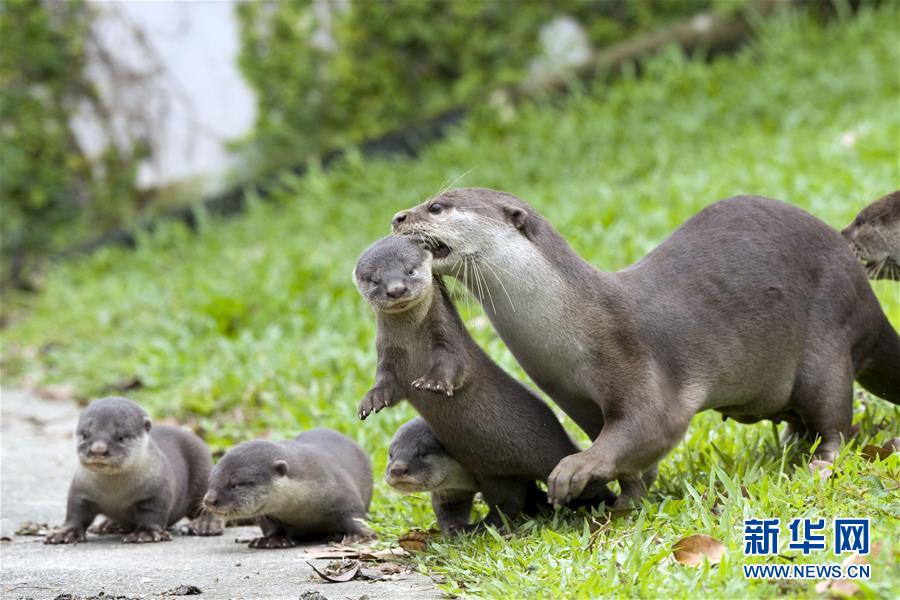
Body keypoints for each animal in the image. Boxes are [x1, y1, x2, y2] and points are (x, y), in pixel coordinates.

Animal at [44, 396, 222, 548]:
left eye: (121, 437)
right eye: (85, 434)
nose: (98, 450)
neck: (114, 494)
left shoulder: (157, 491)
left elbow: (153, 513)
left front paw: (145, 534)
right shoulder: (80, 490)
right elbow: (75, 512)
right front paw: (65, 533)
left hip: (203, 473)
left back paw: (206, 525)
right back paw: (108, 525)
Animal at [204, 426, 372, 548]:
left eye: (235, 485)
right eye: (211, 481)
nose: (209, 500)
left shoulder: (342, 491)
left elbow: (354, 514)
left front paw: (359, 536)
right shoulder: (268, 514)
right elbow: (271, 525)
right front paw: (272, 539)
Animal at [356, 234, 616, 528]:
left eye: (410, 270)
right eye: (375, 281)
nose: (396, 290)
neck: (413, 346)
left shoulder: (448, 340)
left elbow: (452, 366)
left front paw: (434, 383)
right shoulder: (388, 358)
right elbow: (386, 385)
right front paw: (371, 400)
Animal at [394, 188, 900, 506]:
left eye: (437, 206)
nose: (398, 217)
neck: (570, 330)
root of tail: (868, 299)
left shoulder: (632, 359)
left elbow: (647, 425)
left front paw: (575, 469)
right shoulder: (575, 399)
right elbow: (627, 455)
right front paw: (626, 501)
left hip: (828, 335)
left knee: (835, 421)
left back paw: (820, 462)